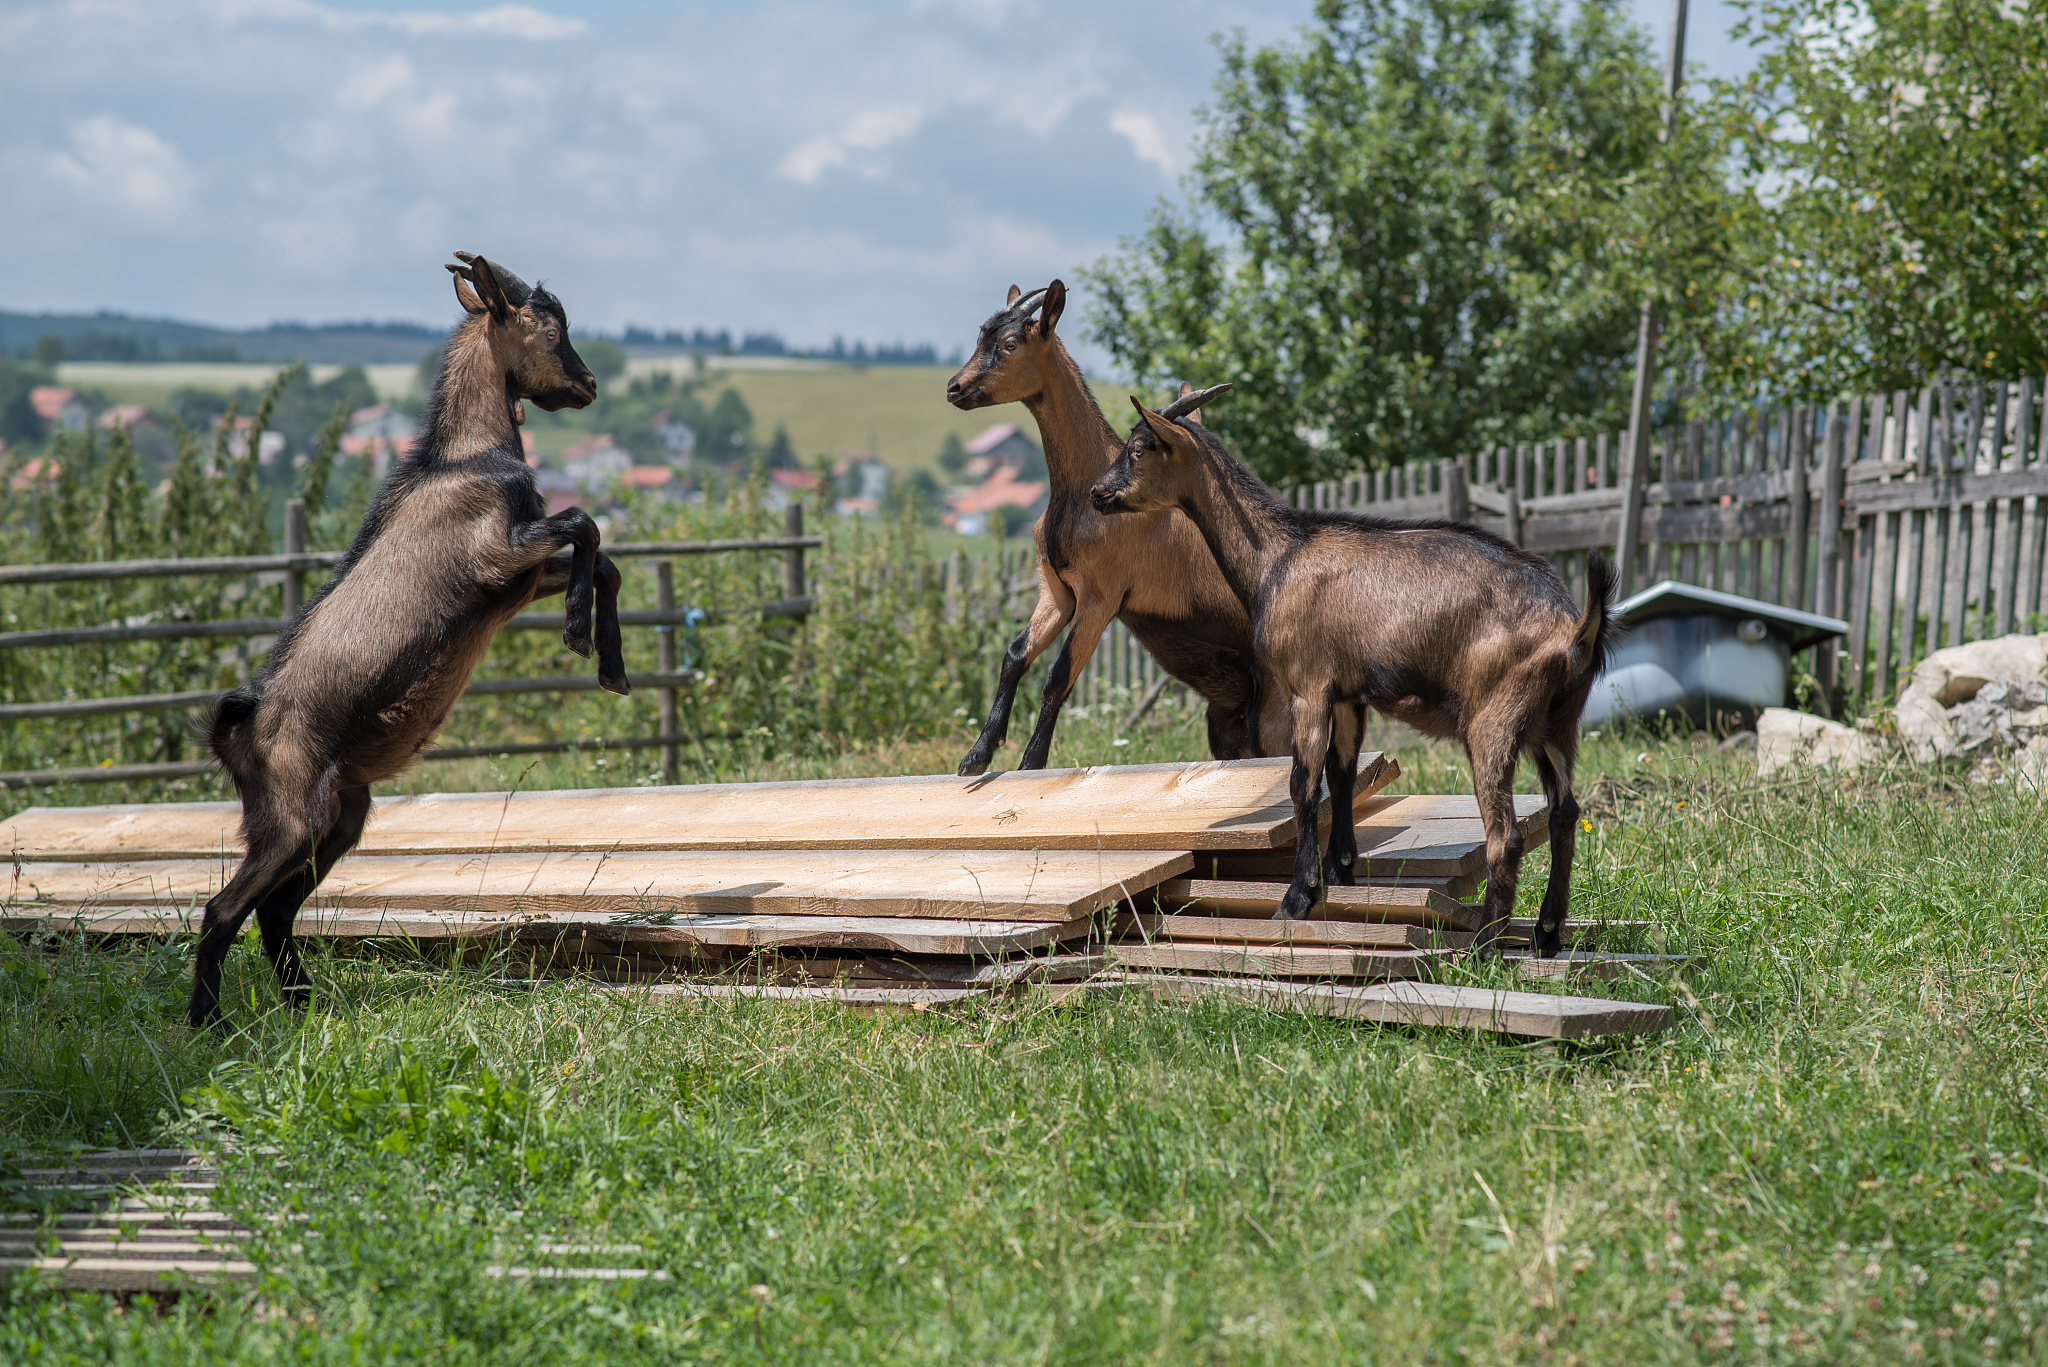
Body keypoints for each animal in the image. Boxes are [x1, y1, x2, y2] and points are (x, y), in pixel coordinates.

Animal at [187, 252, 628, 1028]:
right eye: (551, 329)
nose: (589, 385)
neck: (466, 458)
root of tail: (236, 732)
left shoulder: (516, 582)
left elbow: (601, 556)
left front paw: (612, 665)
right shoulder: (494, 555)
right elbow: (584, 524)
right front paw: (579, 631)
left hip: (341, 815)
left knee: (274, 911)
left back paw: (303, 1002)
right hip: (291, 815)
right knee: (224, 908)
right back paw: (210, 1022)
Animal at [944, 281, 1271, 774]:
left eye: (1010, 343)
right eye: (982, 337)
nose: (955, 387)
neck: (1082, 492)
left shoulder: (1102, 595)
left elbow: (1058, 678)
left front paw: (1030, 765)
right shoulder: (1058, 591)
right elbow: (1015, 656)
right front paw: (977, 756)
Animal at [1090, 387, 1614, 958]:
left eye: (1138, 448)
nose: (1097, 493)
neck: (1278, 556)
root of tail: (1573, 629)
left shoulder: (1307, 685)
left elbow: (1303, 784)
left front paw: (1298, 897)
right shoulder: (1347, 695)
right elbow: (1341, 774)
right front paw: (1341, 875)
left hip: (1494, 717)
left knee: (1507, 833)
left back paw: (1484, 945)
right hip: (1558, 723)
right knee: (1564, 813)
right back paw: (1546, 934)